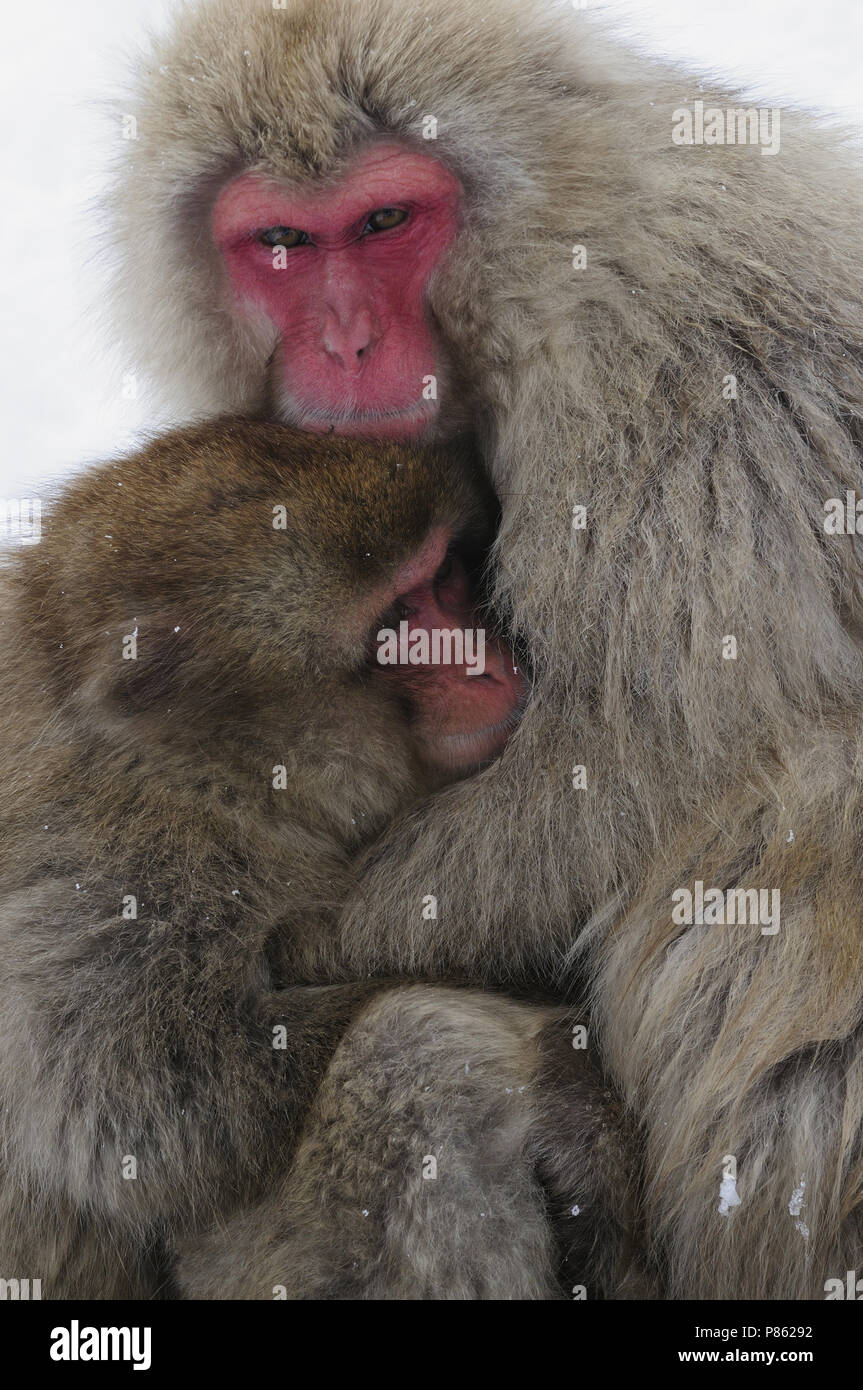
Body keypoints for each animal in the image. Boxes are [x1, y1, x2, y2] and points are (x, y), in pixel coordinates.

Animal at [0, 417, 639, 1295]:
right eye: (393, 623)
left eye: (439, 578)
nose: (486, 664)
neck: (211, 772)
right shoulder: (118, 851)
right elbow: (149, 1108)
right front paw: (561, 1066)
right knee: (408, 1049)